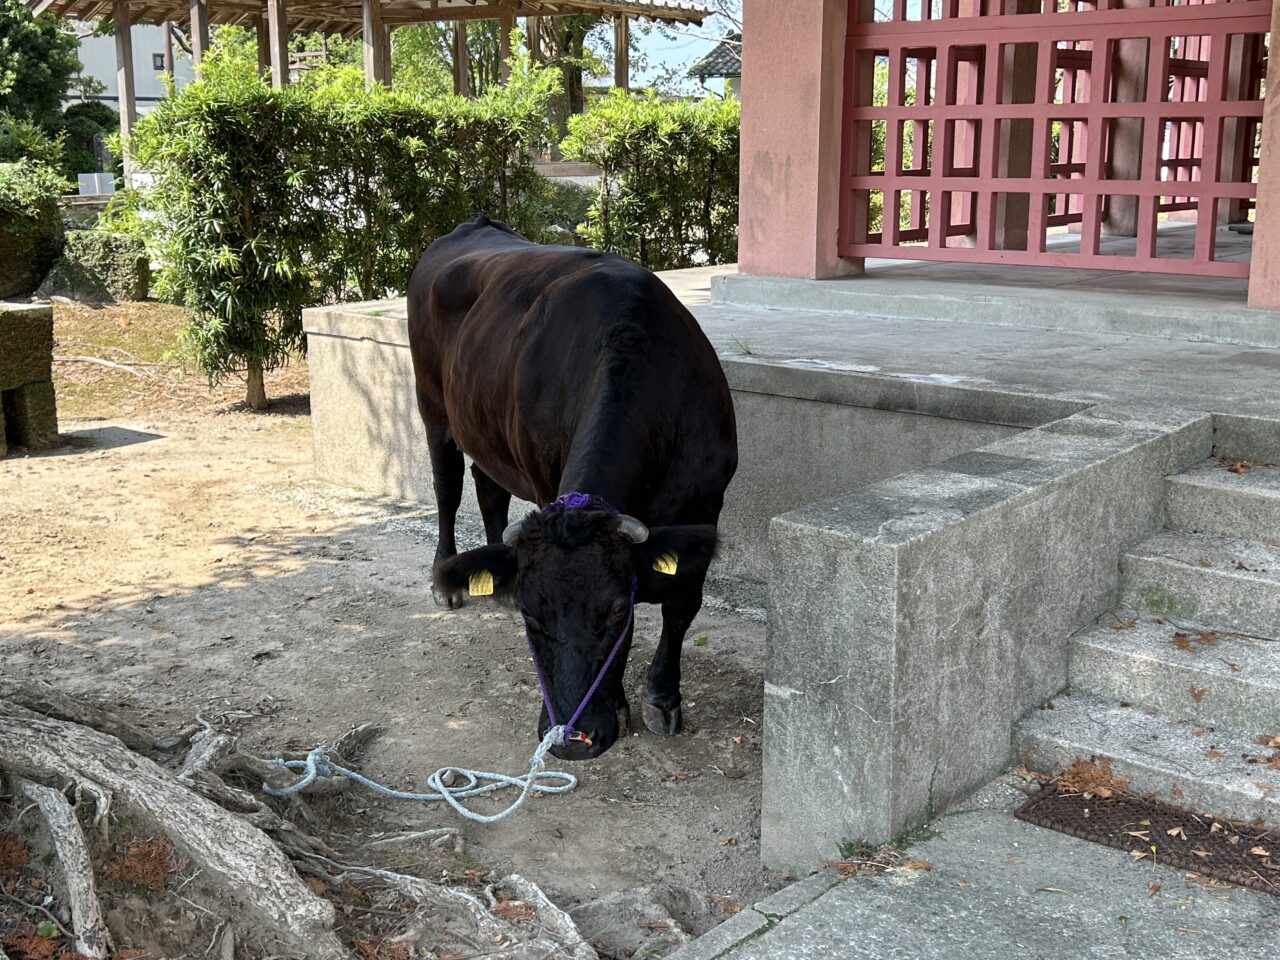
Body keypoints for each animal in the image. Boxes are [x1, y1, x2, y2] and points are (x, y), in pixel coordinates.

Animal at [404, 216, 737, 757]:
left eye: (617, 608)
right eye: (531, 616)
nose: (572, 739)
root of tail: (472, 225)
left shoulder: (708, 502)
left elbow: (682, 604)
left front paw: (662, 698)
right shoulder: (545, 483)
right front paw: (622, 702)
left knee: (488, 487)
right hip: (432, 404)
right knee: (447, 486)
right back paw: (446, 579)